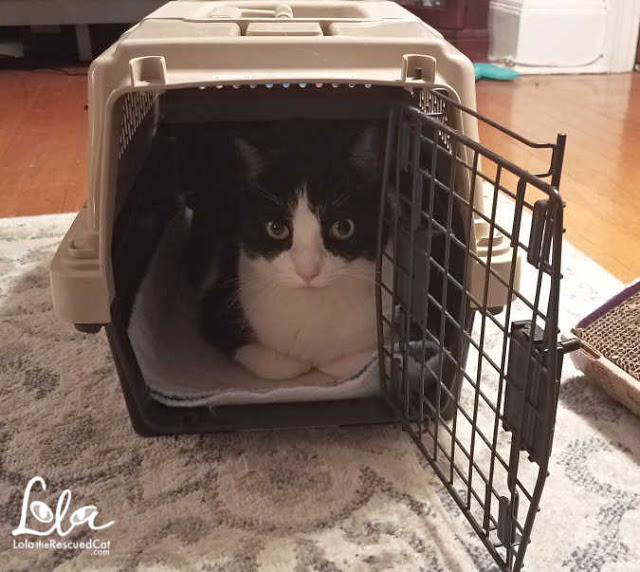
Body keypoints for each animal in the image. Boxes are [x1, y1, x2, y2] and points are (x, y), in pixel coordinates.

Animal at [198, 119, 392, 380]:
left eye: (343, 227)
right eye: (276, 228)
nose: (307, 271)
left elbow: (357, 361)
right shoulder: (216, 306)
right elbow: (277, 364)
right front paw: (300, 363)